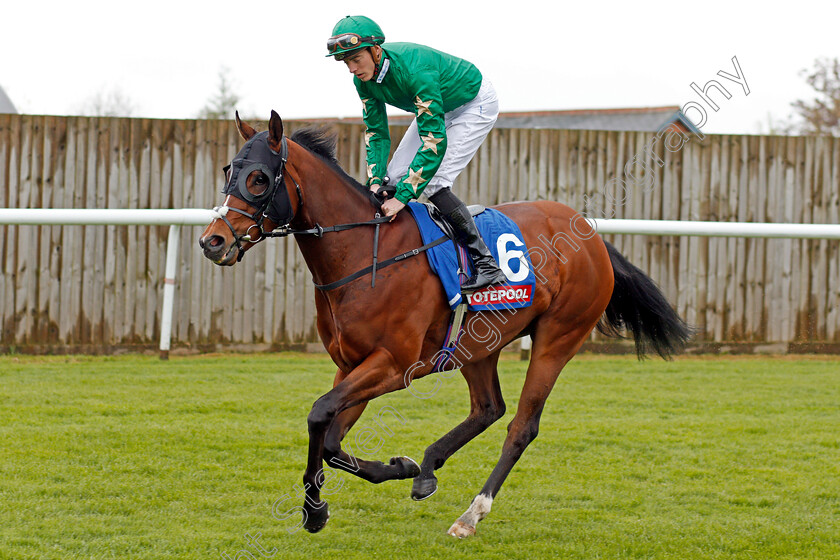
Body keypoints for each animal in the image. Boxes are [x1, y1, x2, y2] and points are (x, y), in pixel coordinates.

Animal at [197, 112, 688, 540]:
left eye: (259, 178)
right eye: (229, 170)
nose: (211, 241)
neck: (365, 254)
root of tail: (590, 234)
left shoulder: (393, 365)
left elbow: (320, 413)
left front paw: (320, 507)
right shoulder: (352, 365)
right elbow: (331, 437)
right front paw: (392, 473)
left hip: (558, 337)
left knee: (521, 426)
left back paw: (471, 514)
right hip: (478, 342)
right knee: (488, 408)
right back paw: (429, 466)